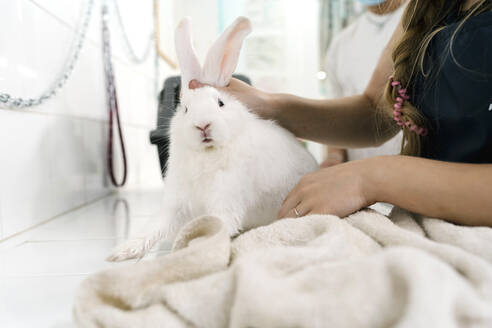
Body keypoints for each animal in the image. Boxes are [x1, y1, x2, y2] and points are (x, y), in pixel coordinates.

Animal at [106, 16, 320, 262]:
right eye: (185, 109)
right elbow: (155, 227)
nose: (203, 125)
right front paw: (122, 252)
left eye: (220, 103)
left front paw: (191, 253)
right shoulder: (176, 203)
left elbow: (216, 227)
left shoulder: (226, 200)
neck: (207, 155)